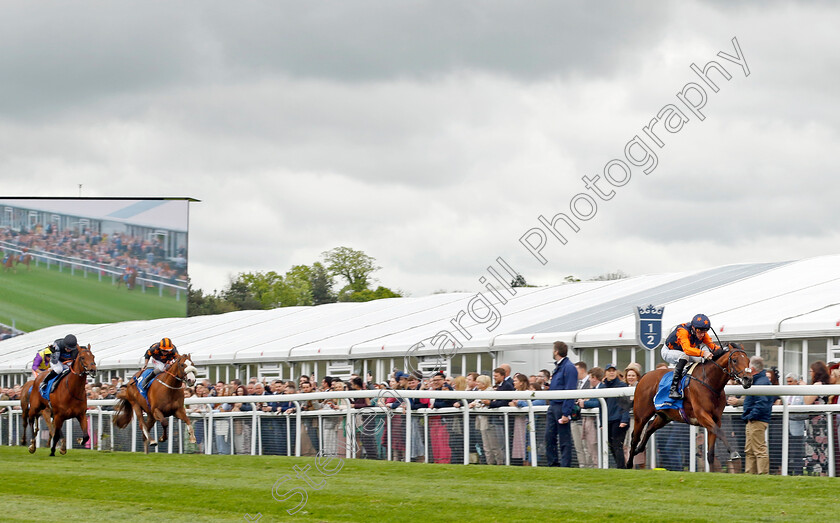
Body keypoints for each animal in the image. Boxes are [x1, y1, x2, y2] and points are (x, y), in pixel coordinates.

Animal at [624, 344, 756, 470]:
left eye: (748, 360)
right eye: (734, 360)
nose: (748, 380)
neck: (709, 381)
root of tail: (643, 377)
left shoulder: (716, 419)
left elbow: (711, 453)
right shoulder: (702, 415)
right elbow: (721, 433)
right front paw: (734, 452)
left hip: (664, 416)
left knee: (649, 429)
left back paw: (639, 449)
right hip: (641, 415)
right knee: (635, 437)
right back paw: (629, 463)